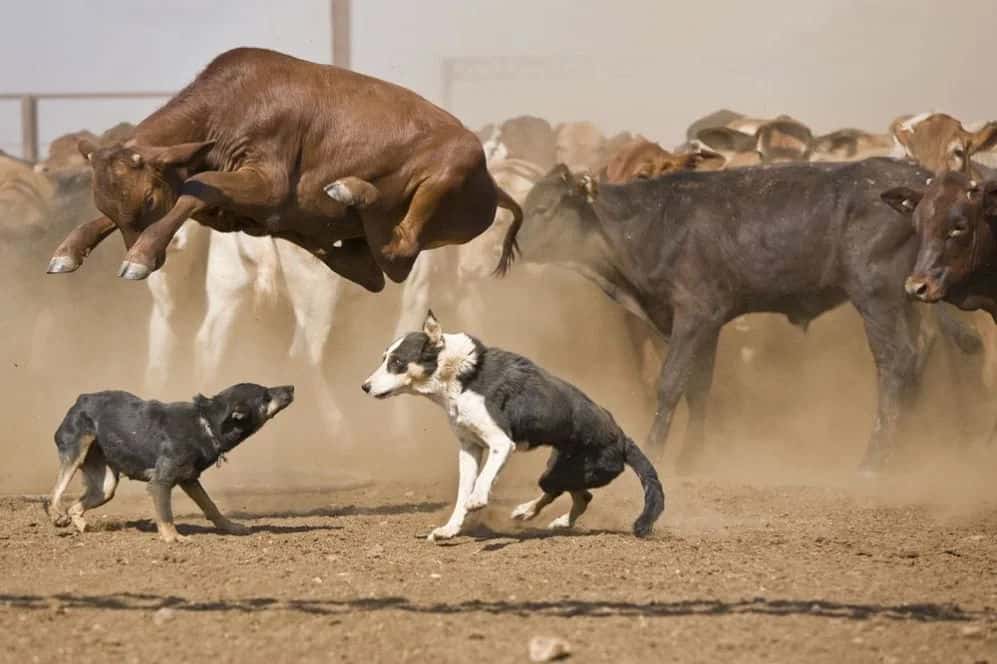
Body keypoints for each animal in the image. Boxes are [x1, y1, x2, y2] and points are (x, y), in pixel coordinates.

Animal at [46, 48, 520, 292]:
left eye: (147, 197)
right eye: (105, 202)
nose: (153, 257)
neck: (228, 109)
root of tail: (493, 185)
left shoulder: (267, 181)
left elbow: (200, 185)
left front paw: (140, 256)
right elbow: (181, 195)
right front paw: (67, 250)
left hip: (449, 172)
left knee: (398, 253)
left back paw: (351, 191)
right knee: (371, 270)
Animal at [46, 382, 294, 544]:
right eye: (265, 396)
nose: (291, 387)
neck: (207, 424)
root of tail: (82, 399)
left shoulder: (190, 479)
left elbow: (211, 506)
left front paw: (230, 527)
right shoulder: (160, 482)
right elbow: (166, 513)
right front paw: (172, 537)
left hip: (104, 487)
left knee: (76, 505)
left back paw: (82, 526)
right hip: (76, 451)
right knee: (55, 492)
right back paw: (57, 514)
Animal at [362, 312, 664, 540]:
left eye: (398, 362)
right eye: (384, 358)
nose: (364, 386)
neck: (463, 374)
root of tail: (623, 438)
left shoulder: (500, 443)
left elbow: (482, 481)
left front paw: (478, 500)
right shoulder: (469, 448)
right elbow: (462, 491)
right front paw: (450, 529)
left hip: (569, 471)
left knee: (570, 493)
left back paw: (532, 513)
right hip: (559, 468)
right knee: (581, 496)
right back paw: (538, 516)